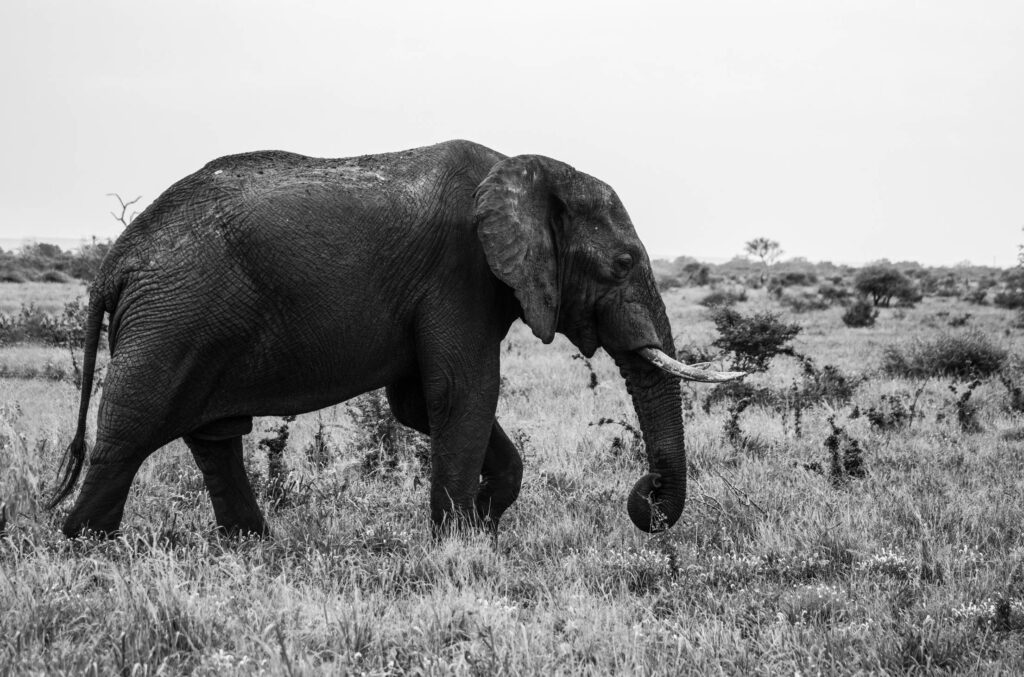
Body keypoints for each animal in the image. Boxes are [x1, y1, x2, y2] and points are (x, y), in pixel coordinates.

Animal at [48, 138, 741, 536]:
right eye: (623, 264)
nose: (645, 501)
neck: (528, 170)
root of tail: (114, 262)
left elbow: (420, 405)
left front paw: (482, 524)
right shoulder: (459, 273)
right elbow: (461, 393)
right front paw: (457, 546)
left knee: (213, 437)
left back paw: (252, 543)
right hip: (172, 316)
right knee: (130, 432)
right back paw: (86, 550)